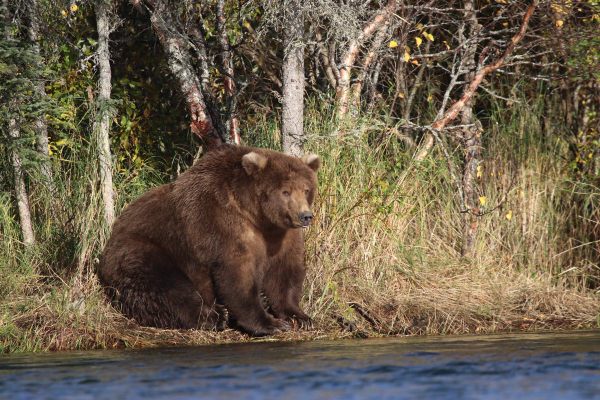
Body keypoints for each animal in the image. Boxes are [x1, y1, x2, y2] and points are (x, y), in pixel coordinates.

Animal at [98, 145, 318, 336]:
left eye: (306, 189)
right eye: (285, 191)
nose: (305, 216)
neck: (257, 216)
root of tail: (109, 239)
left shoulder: (281, 235)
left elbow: (284, 272)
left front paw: (300, 317)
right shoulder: (222, 224)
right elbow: (237, 275)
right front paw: (270, 323)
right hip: (145, 250)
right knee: (167, 288)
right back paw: (215, 316)